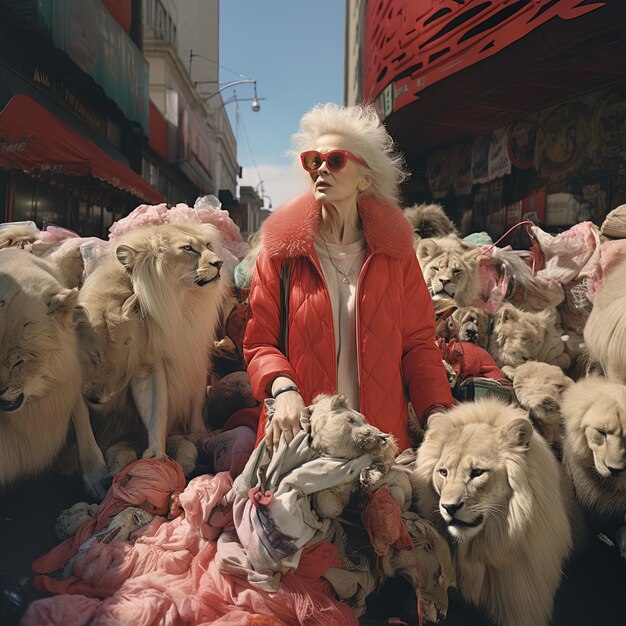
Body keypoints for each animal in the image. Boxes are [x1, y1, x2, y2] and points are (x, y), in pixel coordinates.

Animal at [74, 224, 228, 472]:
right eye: (187, 249)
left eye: (208, 245)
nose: (219, 263)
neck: (181, 305)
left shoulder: (187, 358)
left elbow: (168, 408)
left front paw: (171, 445)